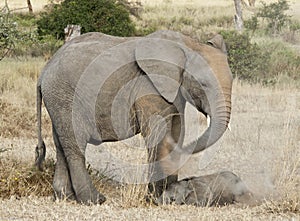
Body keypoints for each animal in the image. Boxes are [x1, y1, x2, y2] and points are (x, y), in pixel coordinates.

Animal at [34, 30, 232, 205]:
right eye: (203, 84)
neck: (188, 44)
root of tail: (44, 70)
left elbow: (177, 131)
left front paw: (168, 194)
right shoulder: (148, 86)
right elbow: (156, 134)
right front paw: (153, 199)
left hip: (58, 101)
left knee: (61, 144)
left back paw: (64, 197)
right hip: (66, 97)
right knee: (75, 144)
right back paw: (94, 200)